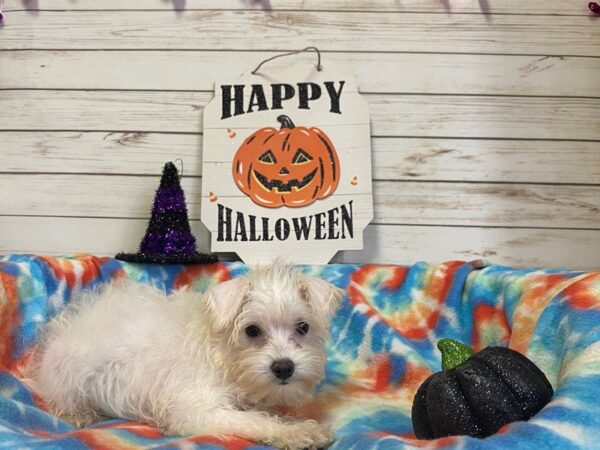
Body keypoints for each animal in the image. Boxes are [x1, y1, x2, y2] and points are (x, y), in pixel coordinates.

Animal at [30, 262, 342, 448]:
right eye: (252, 330)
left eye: (303, 327)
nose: (284, 367)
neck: (221, 353)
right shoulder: (197, 411)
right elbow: (252, 421)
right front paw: (298, 432)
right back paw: (80, 415)